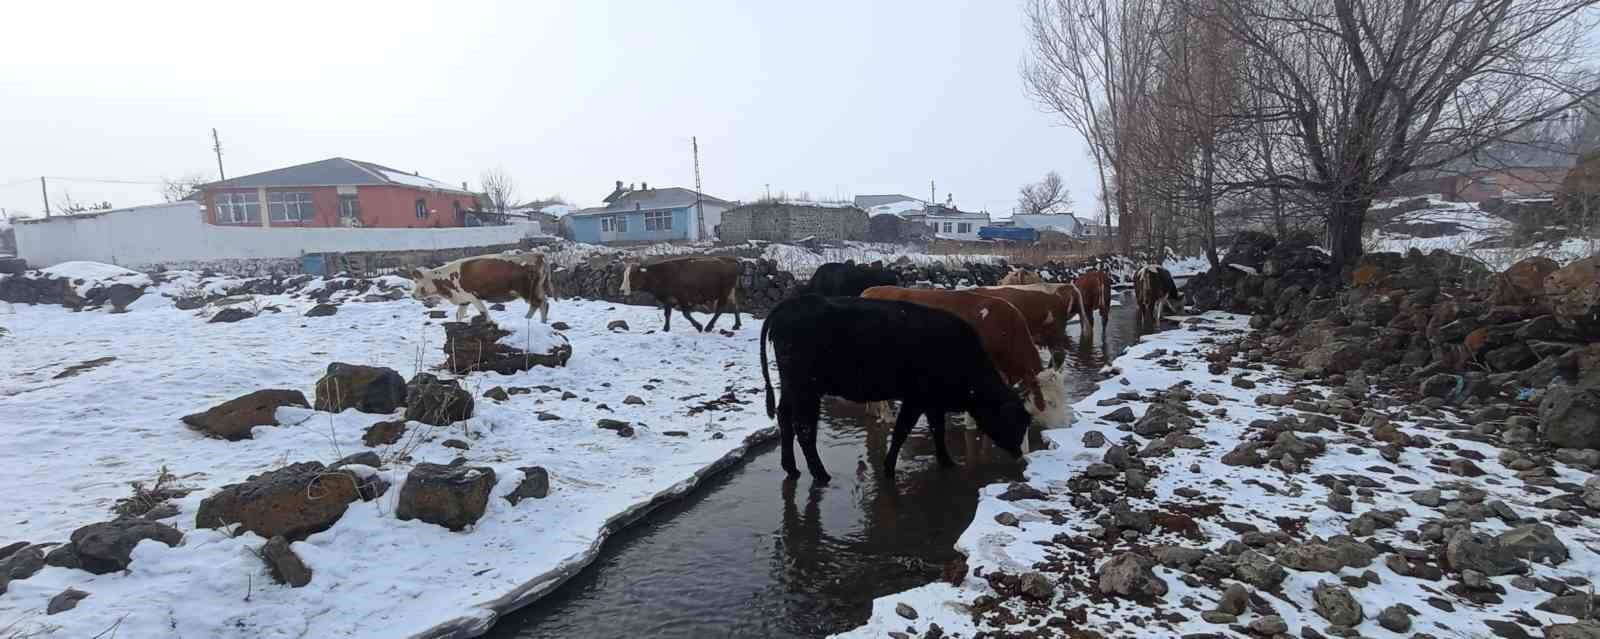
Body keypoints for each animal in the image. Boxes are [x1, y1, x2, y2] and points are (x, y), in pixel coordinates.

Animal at [409, 253, 553, 323]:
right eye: (415, 282)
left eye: (420, 284)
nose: (413, 295)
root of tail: (537, 255)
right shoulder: (463, 299)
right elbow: (459, 315)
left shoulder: (472, 296)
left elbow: (484, 312)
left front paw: (489, 322)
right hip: (537, 288)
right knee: (544, 303)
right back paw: (540, 322)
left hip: (527, 289)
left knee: (537, 303)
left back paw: (529, 320)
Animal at [758, 293, 1030, 483]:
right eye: (1014, 420)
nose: (1020, 456)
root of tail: (790, 305)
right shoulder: (916, 399)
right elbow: (901, 431)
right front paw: (888, 468)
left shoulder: (933, 402)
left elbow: (937, 430)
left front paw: (947, 462)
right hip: (807, 389)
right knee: (804, 429)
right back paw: (821, 475)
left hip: (791, 387)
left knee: (784, 417)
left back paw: (791, 468)